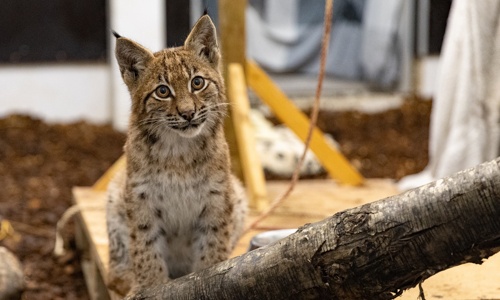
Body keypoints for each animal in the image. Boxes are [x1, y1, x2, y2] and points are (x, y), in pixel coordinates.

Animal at [106, 14, 247, 296]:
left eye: (197, 83)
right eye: (162, 91)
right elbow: (146, 248)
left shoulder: (217, 197)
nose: (188, 113)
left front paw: (207, 277)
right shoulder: (140, 196)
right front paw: (150, 287)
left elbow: (213, 248)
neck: (178, 150)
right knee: (114, 274)